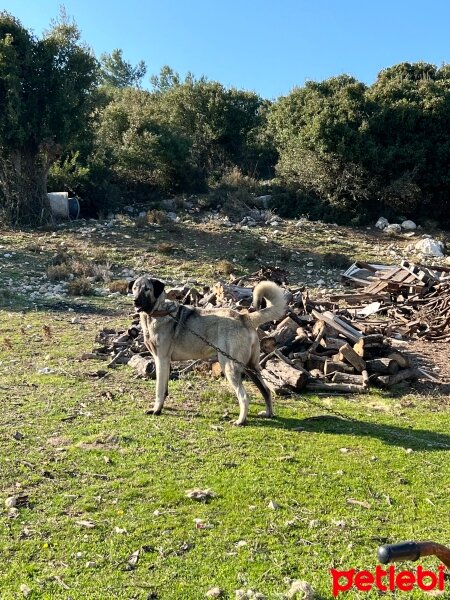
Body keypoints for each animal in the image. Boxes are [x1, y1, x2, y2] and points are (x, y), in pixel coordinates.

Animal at [128, 278, 286, 426]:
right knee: (265, 390)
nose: (135, 301)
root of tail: (243, 317)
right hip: (250, 367)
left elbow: (159, 390)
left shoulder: (161, 359)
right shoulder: (165, 363)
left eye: (147, 289)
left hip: (229, 366)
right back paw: (268, 413)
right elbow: (165, 388)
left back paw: (240, 421)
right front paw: (161, 408)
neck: (158, 312)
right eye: (135, 288)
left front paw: (156, 410)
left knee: (244, 396)